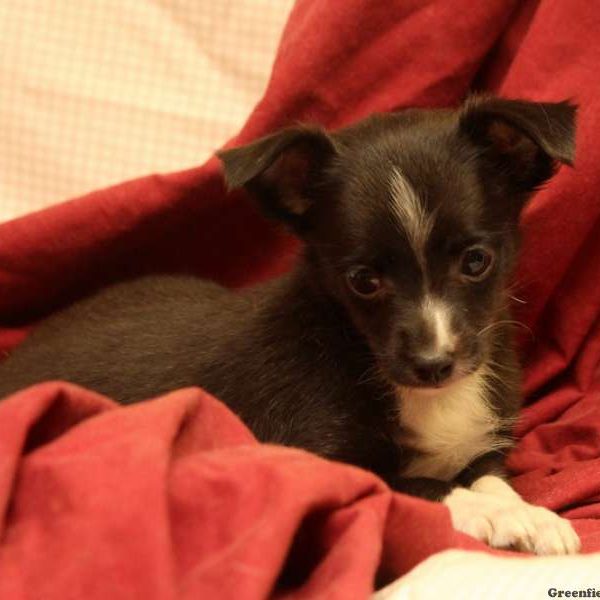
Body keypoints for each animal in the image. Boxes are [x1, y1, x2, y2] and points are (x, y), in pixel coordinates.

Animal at [0, 95, 580, 556]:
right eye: (363, 281)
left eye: (477, 261)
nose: (434, 365)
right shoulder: (315, 458)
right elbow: (420, 483)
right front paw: (503, 515)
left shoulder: (483, 447)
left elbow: (488, 477)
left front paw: (530, 513)